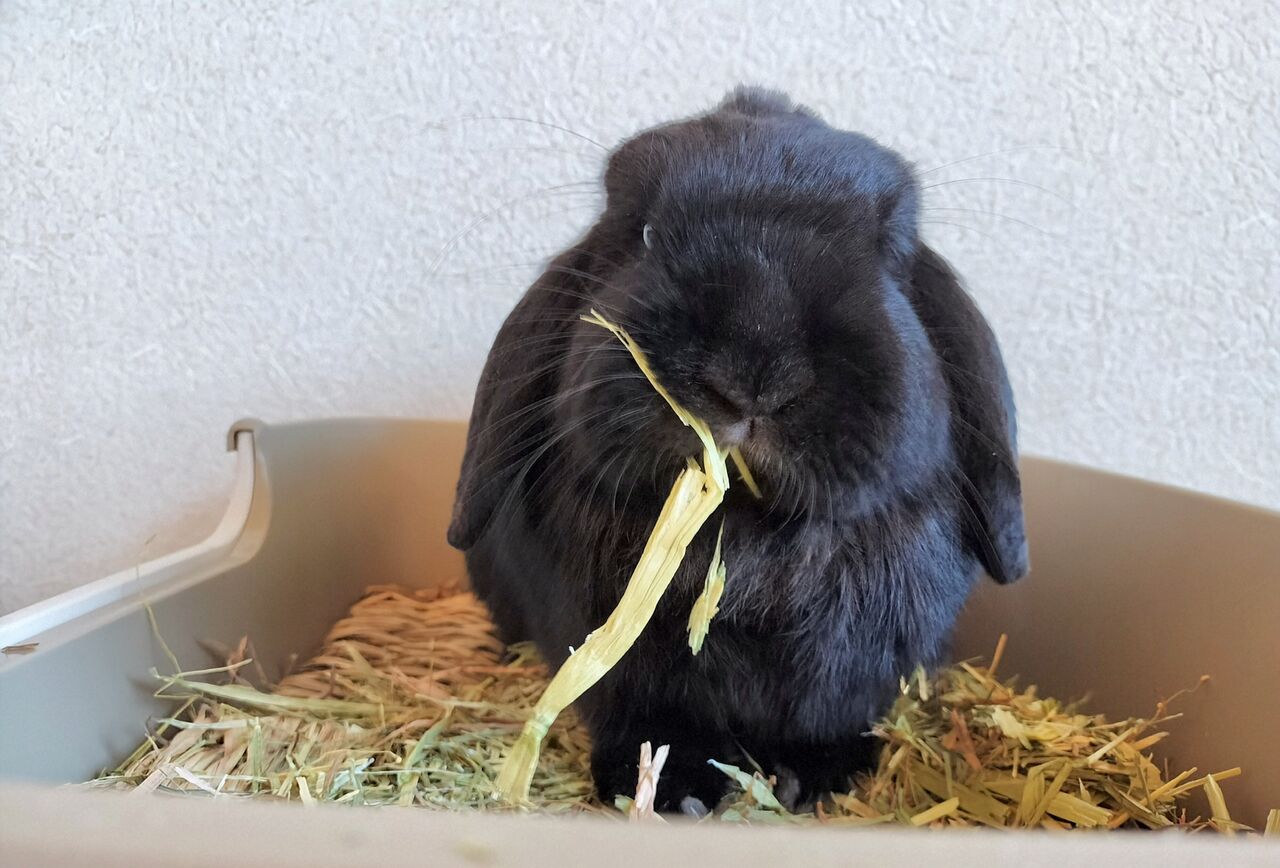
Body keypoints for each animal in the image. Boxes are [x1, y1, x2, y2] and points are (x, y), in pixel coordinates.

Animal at [447, 86, 1028, 815]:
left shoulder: (854, 670)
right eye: (642, 236)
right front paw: (672, 792)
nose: (753, 373)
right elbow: (649, 725)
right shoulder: (624, 675)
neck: (748, 534)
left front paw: (819, 781)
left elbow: (829, 721)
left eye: (886, 257)